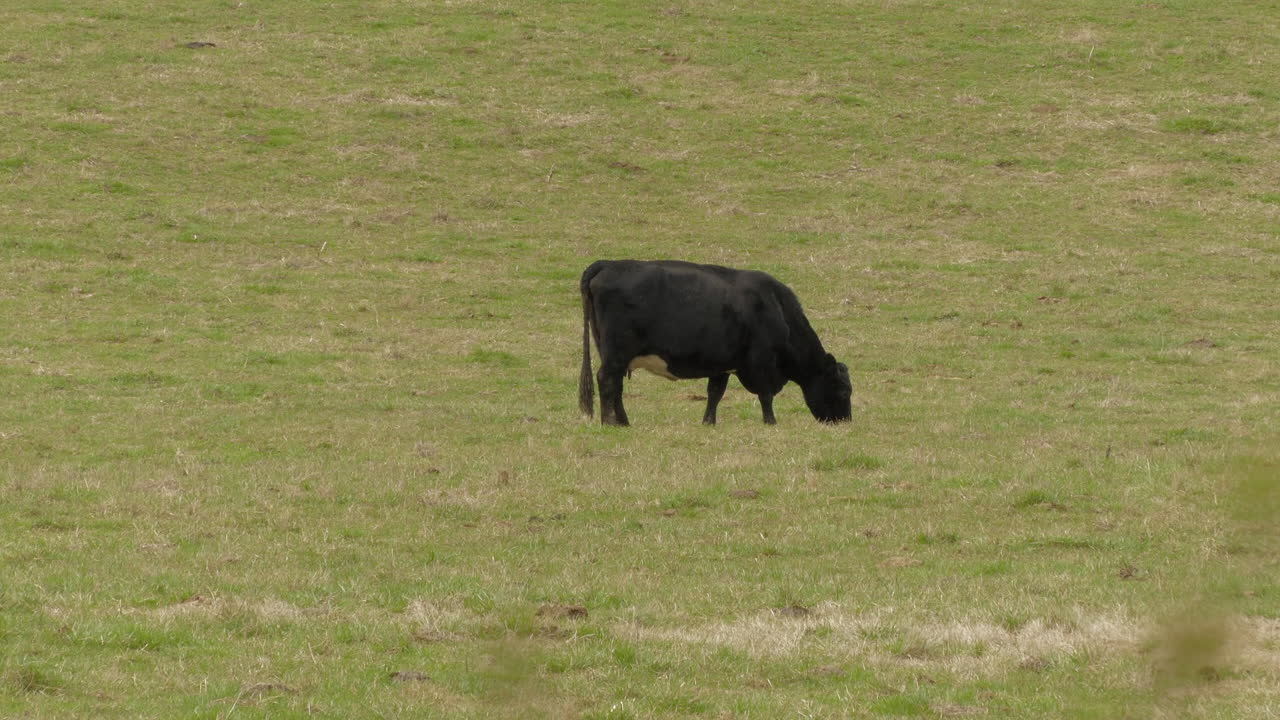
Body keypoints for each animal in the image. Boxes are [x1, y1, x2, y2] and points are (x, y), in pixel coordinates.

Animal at [578, 259, 852, 426]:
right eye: (843, 390)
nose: (845, 422)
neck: (777, 307)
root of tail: (608, 264)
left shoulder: (723, 364)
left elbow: (715, 393)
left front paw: (708, 422)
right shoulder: (761, 361)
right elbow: (765, 395)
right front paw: (771, 422)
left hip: (613, 353)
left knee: (615, 386)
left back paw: (624, 422)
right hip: (616, 353)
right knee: (607, 381)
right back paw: (611, 423)